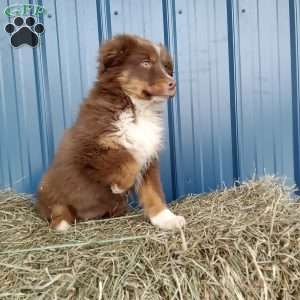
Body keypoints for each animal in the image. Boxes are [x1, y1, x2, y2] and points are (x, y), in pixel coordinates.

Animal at [36, 34, 186, 232]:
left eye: (165, 66)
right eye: (146, 63)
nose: (173, 83)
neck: (137, 110)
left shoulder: (149, 155)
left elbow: (153, 191)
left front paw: (166, 219)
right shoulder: (91, 150)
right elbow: (128, 160)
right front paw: (119, 186)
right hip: (48, 184)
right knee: (57, 207)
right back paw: (62, 222)